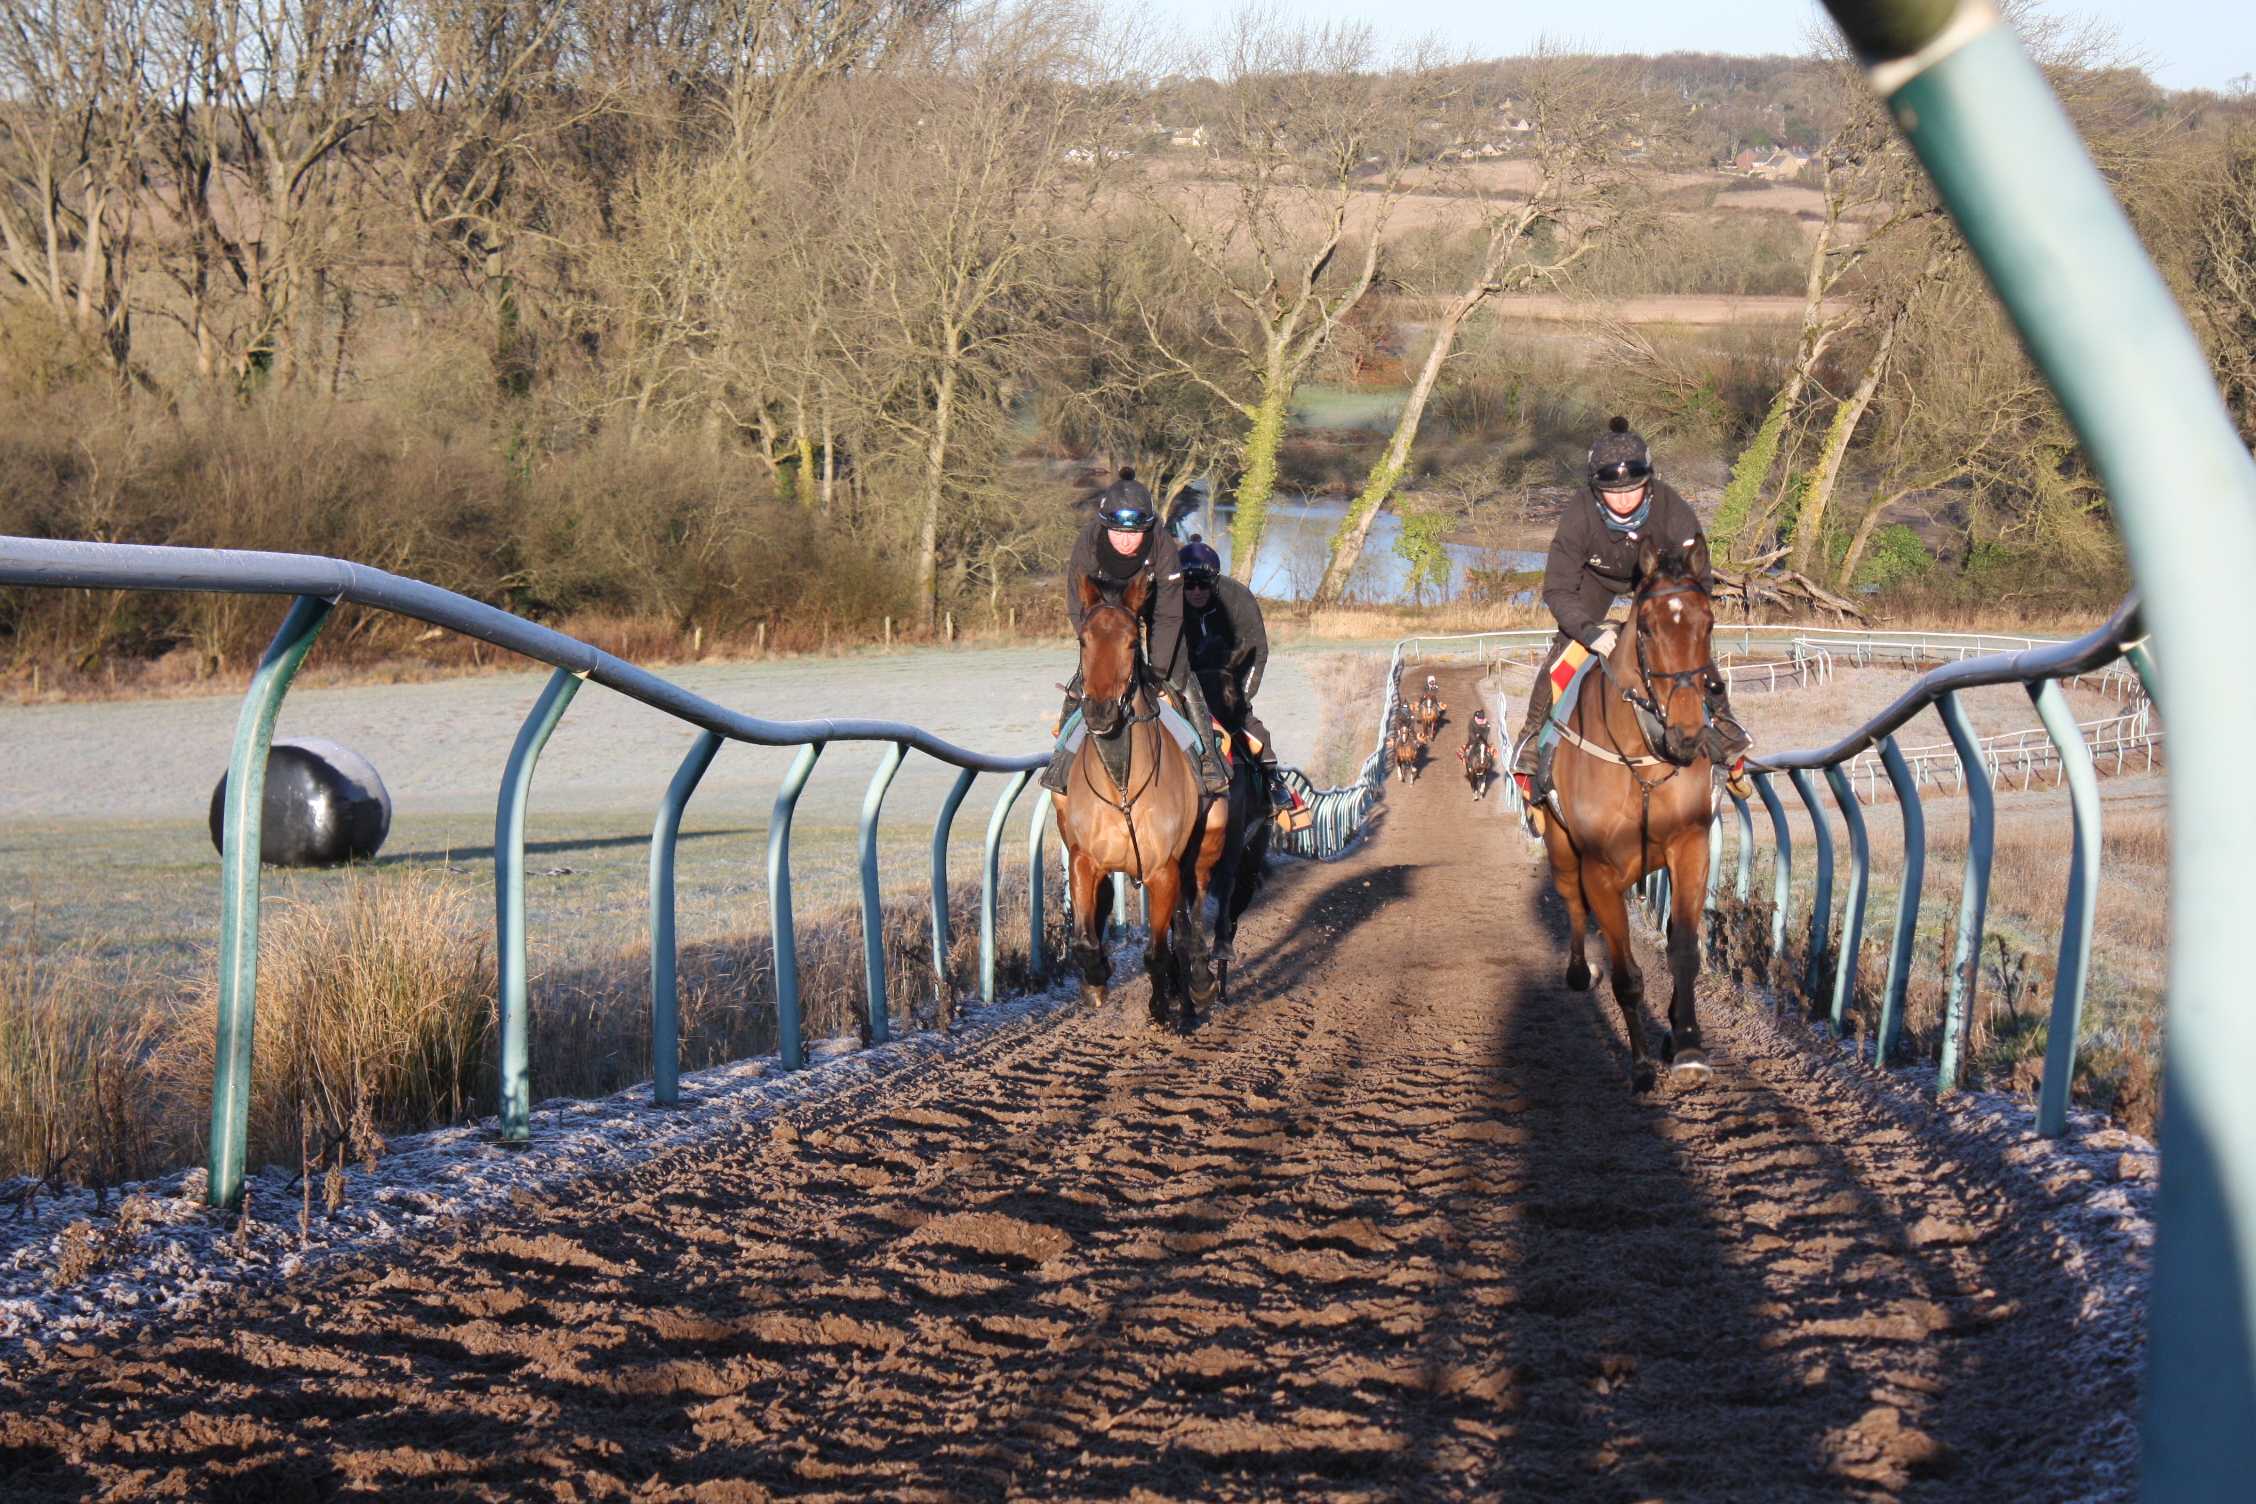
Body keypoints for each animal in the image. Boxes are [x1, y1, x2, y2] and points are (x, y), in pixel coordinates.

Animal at [1046, 577, 1227, 1037]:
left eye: (1131, 642)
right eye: (1083, 640)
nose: (1099, 711)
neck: (1123, 782)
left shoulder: (1164, 870)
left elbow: (1160, 952)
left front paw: (1162, 1008)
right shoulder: (1085, 857)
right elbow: (1084, 941)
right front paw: (1096, 977)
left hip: (1205, 850)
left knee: (1192, 915)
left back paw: (1198, 983)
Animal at [1534, 541, 1723, 1095]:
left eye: (1708, 623)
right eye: (1648, 629)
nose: (1686, 733)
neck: (1641, 760)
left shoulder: (1690, 845)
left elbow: (1683, 948)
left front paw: (1686, 1044)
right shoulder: (1599, 870)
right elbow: (1627, 977)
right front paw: (1639, 1066)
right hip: (1561, 853)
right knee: (1574, 905)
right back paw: (1580, 971)